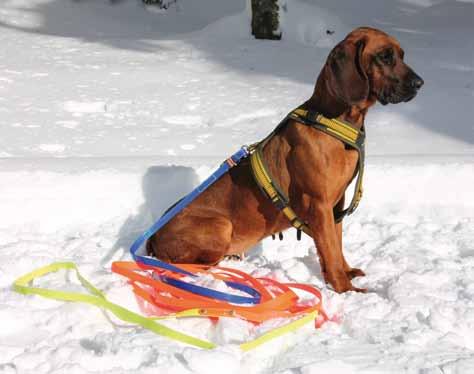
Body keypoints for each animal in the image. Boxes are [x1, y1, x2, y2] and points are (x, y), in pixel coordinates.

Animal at [146, 27, 424, 294]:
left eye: (402, 55)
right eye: (384, 56)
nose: (420, 83)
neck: (333, 121)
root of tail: (152, 237)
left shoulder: (336, 205)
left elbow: (336, 244)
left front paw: (346, 273)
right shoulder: (319, 205)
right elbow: (331, 249)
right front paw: (346, 289)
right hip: (221, 225)